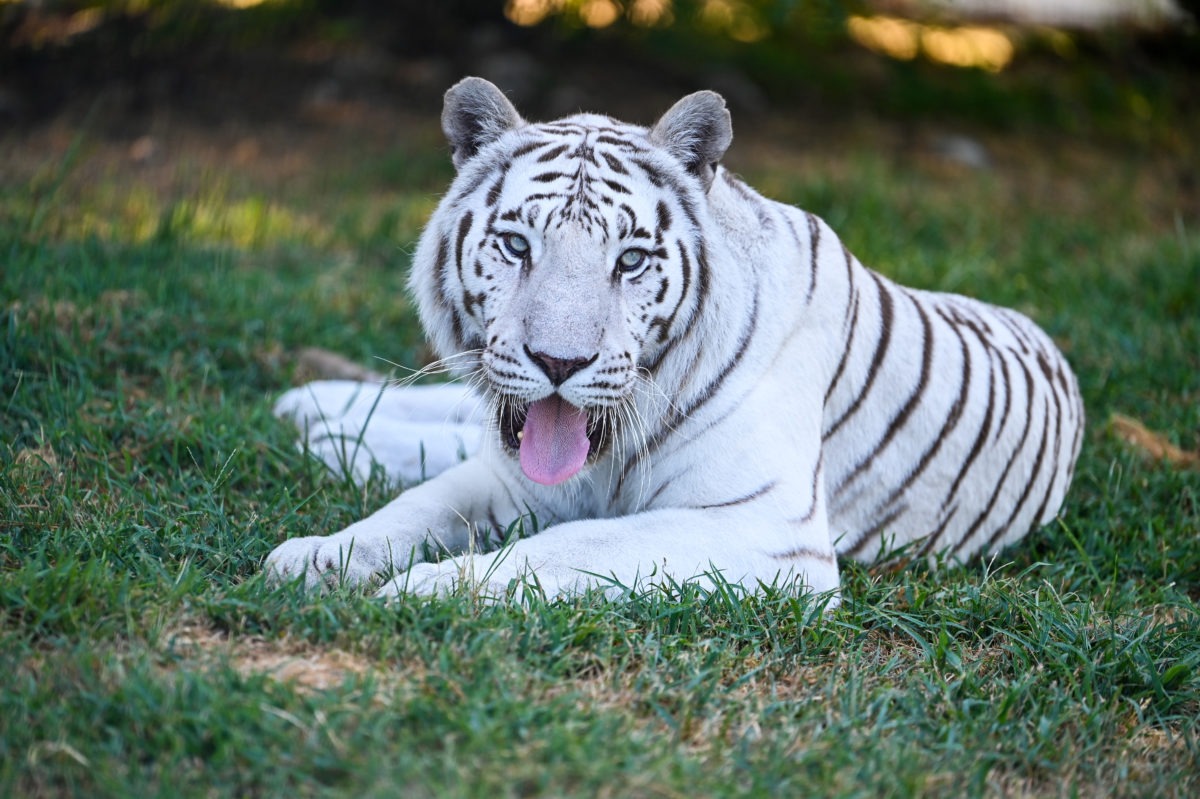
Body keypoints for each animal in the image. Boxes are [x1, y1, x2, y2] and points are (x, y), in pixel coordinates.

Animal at [265, 76, 1084, 602]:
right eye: (518, 245)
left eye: (629, 260)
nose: (559, 362)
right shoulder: (511, 478)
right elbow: (411, 509)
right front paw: (317, 557)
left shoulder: (763, 528)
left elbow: (566, 545)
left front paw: (427, 589)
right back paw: (316, 410)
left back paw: (328, 433)